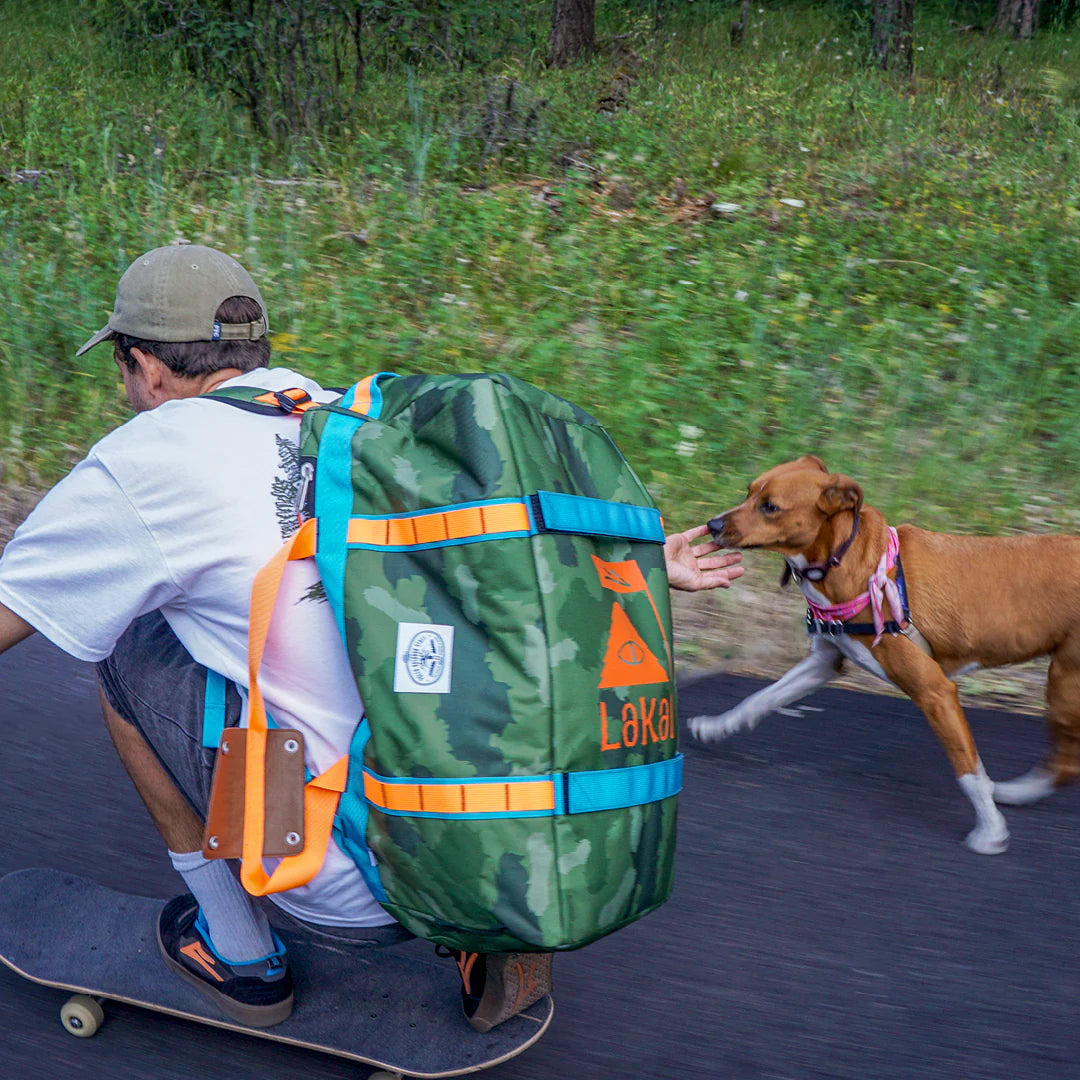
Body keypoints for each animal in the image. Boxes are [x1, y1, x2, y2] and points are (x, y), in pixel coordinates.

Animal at [686, 455, 1080, 851]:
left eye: (770, 507)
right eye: (749, 492)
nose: (712, 525)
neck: (851, 563)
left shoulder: (935, 692)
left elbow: (968, 770)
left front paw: (991, 830)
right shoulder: (824, 662)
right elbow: (760, 698)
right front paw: (718, 725)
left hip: (1064, 684)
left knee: (1066, 761)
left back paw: (1018, 793)